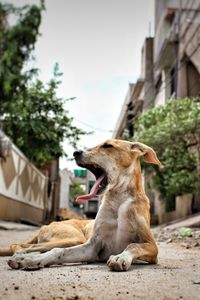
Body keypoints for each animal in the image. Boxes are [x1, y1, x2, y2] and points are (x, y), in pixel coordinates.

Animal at [6, 139, 161, 270]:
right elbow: (59, 251)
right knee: (24, 245)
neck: (119, 199)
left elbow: (133, 245)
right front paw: (31, 260)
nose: (76, 153)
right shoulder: (92, 247)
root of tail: (45, 225)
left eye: (108, 146)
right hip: (73, 238)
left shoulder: (152, 247)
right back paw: (21, 256)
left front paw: (120, 257)